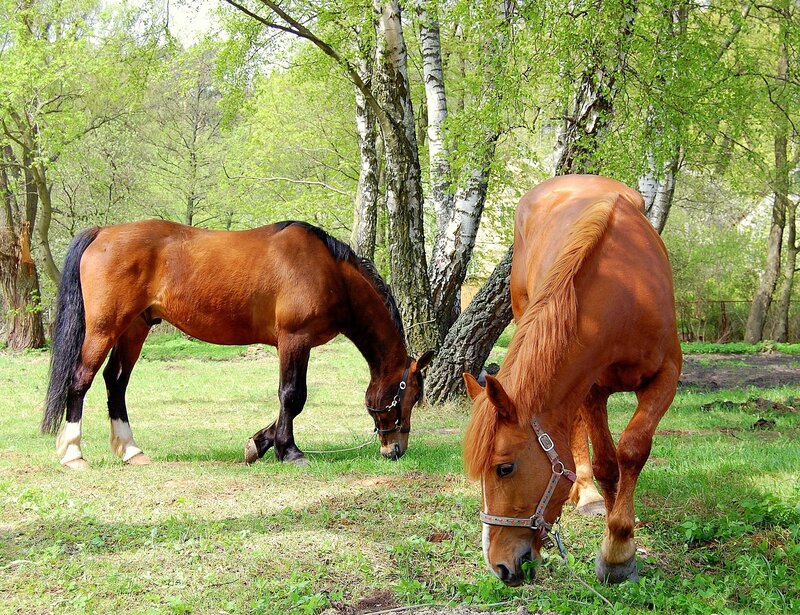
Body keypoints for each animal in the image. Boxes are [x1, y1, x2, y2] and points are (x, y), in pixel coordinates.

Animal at [41, 220, 433, 469]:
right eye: (409, 396)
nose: (396, 450)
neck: (329, 271)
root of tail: (102, 232)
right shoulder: (294, 339)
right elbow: (293, 396)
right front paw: (288, 451)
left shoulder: (295, 344)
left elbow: (289, 401)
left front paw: (259, 443)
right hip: (104, 329)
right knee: (81, 381)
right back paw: (73, 453)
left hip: (135, 329)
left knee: (116, 384)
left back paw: (130, 450)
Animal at [463, 175, 681, 586]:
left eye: (504, 468)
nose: (499, 565)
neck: (625, 294)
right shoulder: (592, 387)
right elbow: (607, 464)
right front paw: (616, 542)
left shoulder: (667, 376)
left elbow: (633, 449)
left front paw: (618, 548)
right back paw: (589, 494)